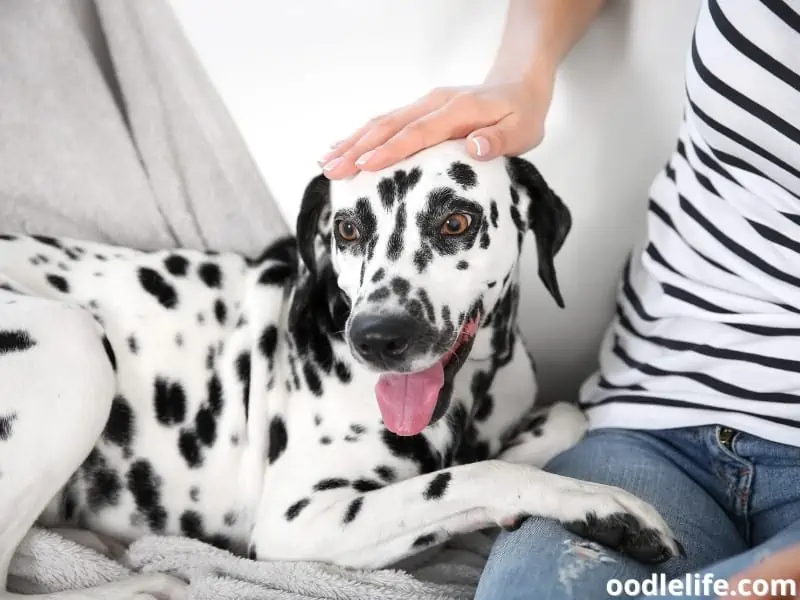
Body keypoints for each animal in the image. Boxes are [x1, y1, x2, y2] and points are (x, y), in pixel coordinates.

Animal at [0, 143, 680, 596]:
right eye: (348, 229)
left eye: (456, 221)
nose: (376, 337)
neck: (469, 394)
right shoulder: (298, 523)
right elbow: (472, 477)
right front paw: (601, 506)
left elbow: (562, 418)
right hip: (76, 347)